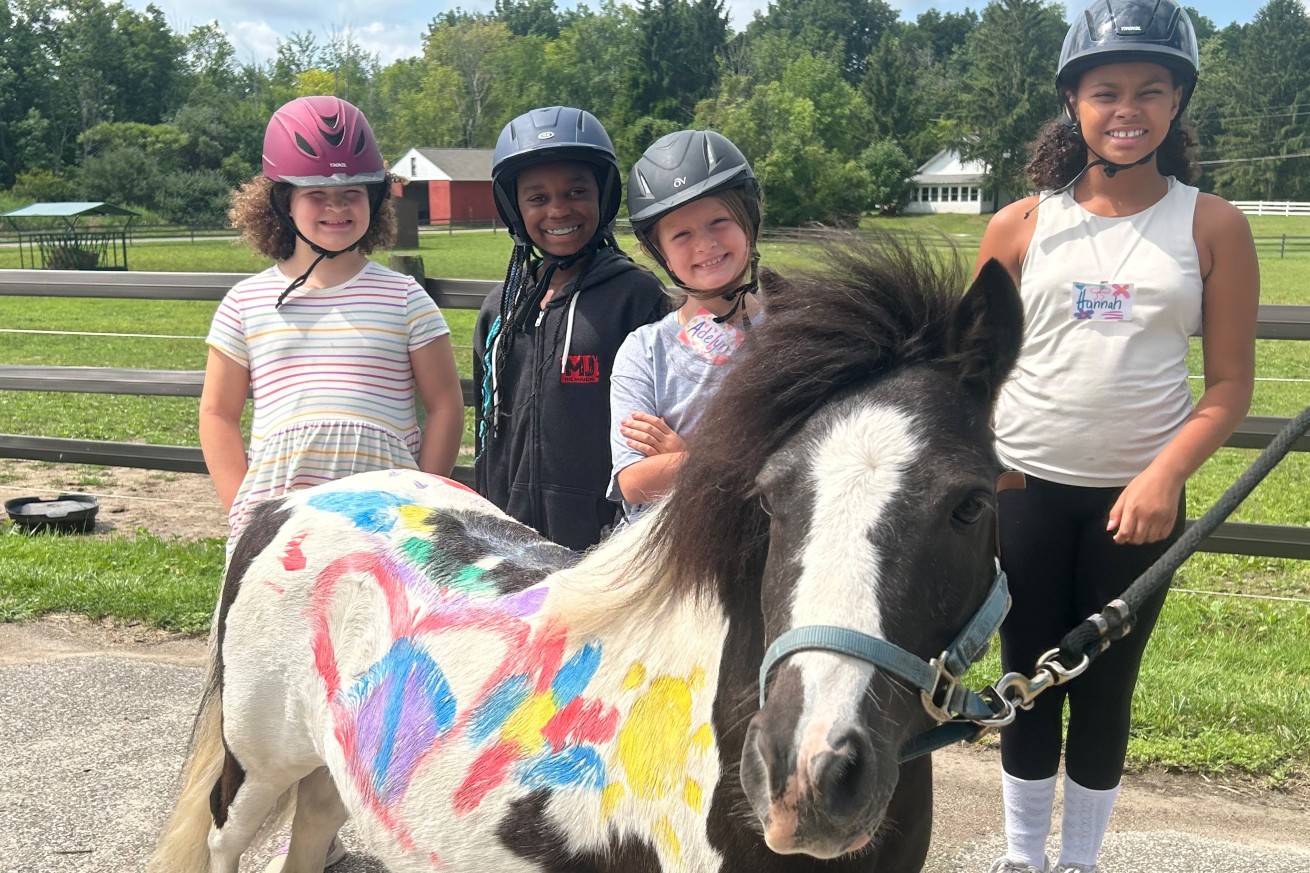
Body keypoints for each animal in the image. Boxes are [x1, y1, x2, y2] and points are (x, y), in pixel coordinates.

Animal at [150, 239, 1021, 870]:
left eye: (970, 502)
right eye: (770, 499)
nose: (805, 776)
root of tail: (290, 504)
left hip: (336, 775)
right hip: (256, 772)